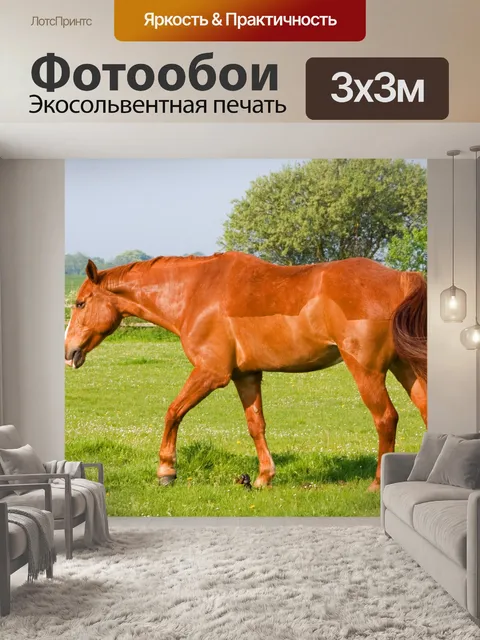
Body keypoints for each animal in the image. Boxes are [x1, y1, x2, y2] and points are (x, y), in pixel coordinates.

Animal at [64, 252, 427, 491]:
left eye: (81, 303)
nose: (69, 352)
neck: (195, 293)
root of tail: (400, 278)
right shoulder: (246, 376)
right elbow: (256, 426)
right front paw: (264, 477)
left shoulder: (211, 373)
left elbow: (173, 412)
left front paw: (166, 470)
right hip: (406, 368)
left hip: (367, 371)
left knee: (386, 419)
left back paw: (377, 484)